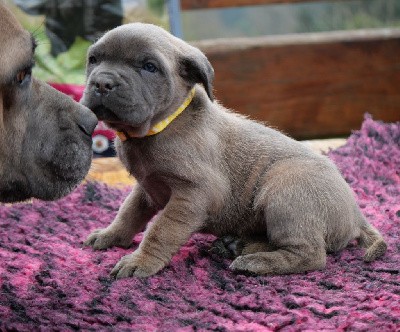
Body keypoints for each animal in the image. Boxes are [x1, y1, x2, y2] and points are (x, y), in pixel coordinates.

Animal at [81, 22, 384, 278]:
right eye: (93, 59)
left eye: (149, 66)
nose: (102, 83)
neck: (162, 126)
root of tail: (356, 214)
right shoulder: (146, 188)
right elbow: (128, 213)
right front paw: (111, 236)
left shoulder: (192, 195)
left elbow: (161, 230)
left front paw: (140, 261)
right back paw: (237, 246)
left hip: (285, 189)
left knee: (310, 255)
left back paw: (254, 262)